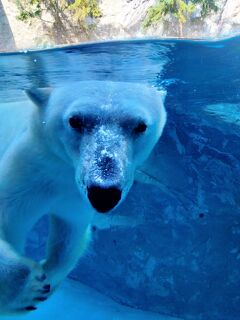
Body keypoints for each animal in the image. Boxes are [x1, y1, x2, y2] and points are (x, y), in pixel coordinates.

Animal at [0, 81, 165, 314]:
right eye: (75, 120)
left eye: (141, 126)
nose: (104, 194)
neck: (62, 169)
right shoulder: (29, 169)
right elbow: (7, 218)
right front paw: (28, 290)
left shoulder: (74, 197)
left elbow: (70, 235)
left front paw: (48, 280)